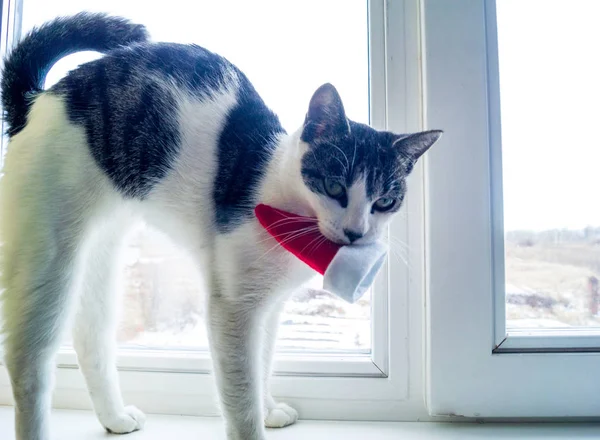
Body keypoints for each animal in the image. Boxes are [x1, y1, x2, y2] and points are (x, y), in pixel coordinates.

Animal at [0, 12, 440, 440]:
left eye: (385, 201)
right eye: (334, 187)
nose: (356, 232)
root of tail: (41, 98)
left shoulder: (270, 307)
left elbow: (263, 362)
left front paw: (269, 409)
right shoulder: (234, 309)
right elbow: (242, 397)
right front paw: (255, 421)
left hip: (101, 260)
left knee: (92, 339)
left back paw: (116, 418)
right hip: (48, 261)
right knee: (29, 366)